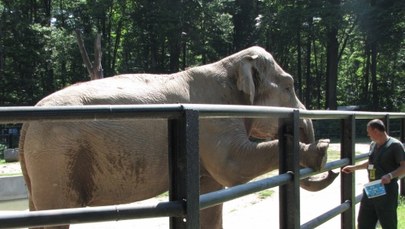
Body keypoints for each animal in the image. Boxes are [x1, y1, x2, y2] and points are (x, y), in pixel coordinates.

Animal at [19, 45, 338, 228]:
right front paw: (319, 151)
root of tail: (26, 124)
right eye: (289, 86)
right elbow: (233, 166)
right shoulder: (213, 118)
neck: (227, 64)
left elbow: (213, 195)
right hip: (56, 157)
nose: (334, 168)